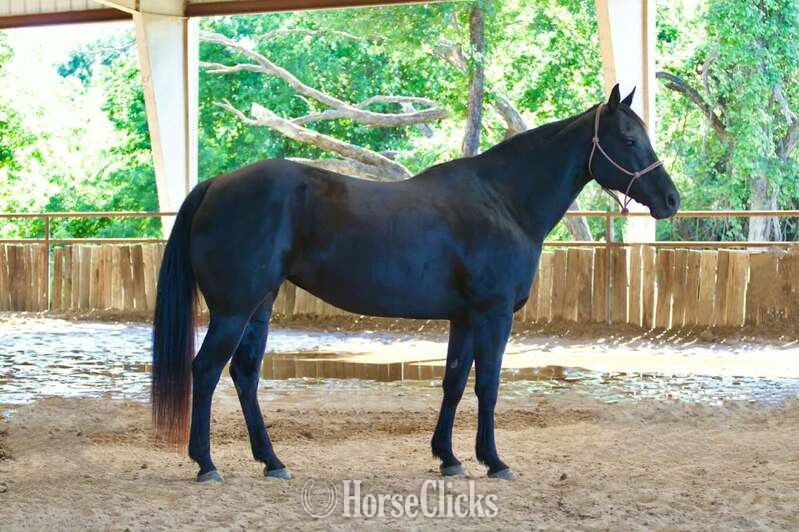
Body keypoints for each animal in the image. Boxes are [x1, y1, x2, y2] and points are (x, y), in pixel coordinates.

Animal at [152, 84, 680, 482]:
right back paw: (206, 464)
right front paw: (494, 461)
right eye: (628, 139)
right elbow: (488, 385)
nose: (671, 200)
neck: (504, 201)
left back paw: (272, 461)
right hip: (233, 311)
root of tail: (215, 185)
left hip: (259, 307)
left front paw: (448, 458)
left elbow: (453, 382)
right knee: (206, 370)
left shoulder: (464, 318)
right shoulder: (493, 315)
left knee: (245, 375)